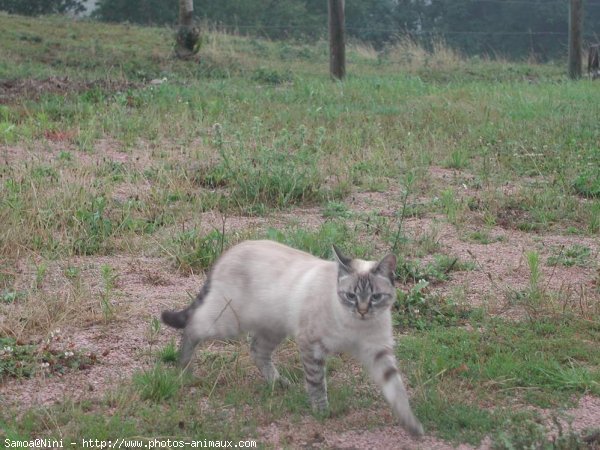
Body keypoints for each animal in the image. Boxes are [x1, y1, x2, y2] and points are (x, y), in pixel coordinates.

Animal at [162, 241, 424, 438]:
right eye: (350, 296)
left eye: (375, 297)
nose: (361, 311)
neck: (355, 326)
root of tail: (231, 250)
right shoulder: (312, 346)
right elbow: (317, 384)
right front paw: (322, 412)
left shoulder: (379, 352)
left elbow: (397, 390)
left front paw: (412, 426)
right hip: (227, 323)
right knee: (192, 327)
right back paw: (184, 370)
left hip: (272, 328)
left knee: (257, 350)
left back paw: (278, 383)